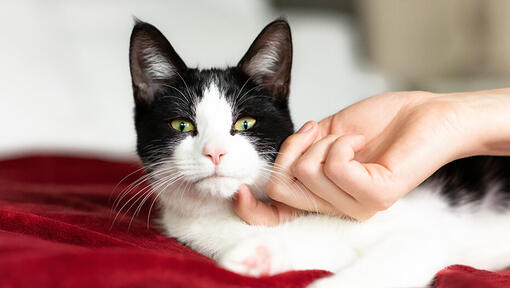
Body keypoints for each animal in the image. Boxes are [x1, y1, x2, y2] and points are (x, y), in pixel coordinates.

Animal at [128, 19, 510, 286]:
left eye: (245, 122)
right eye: (181, 125)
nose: (215, 153)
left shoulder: (424, 232)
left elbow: (403, 252)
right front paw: (256, 257)